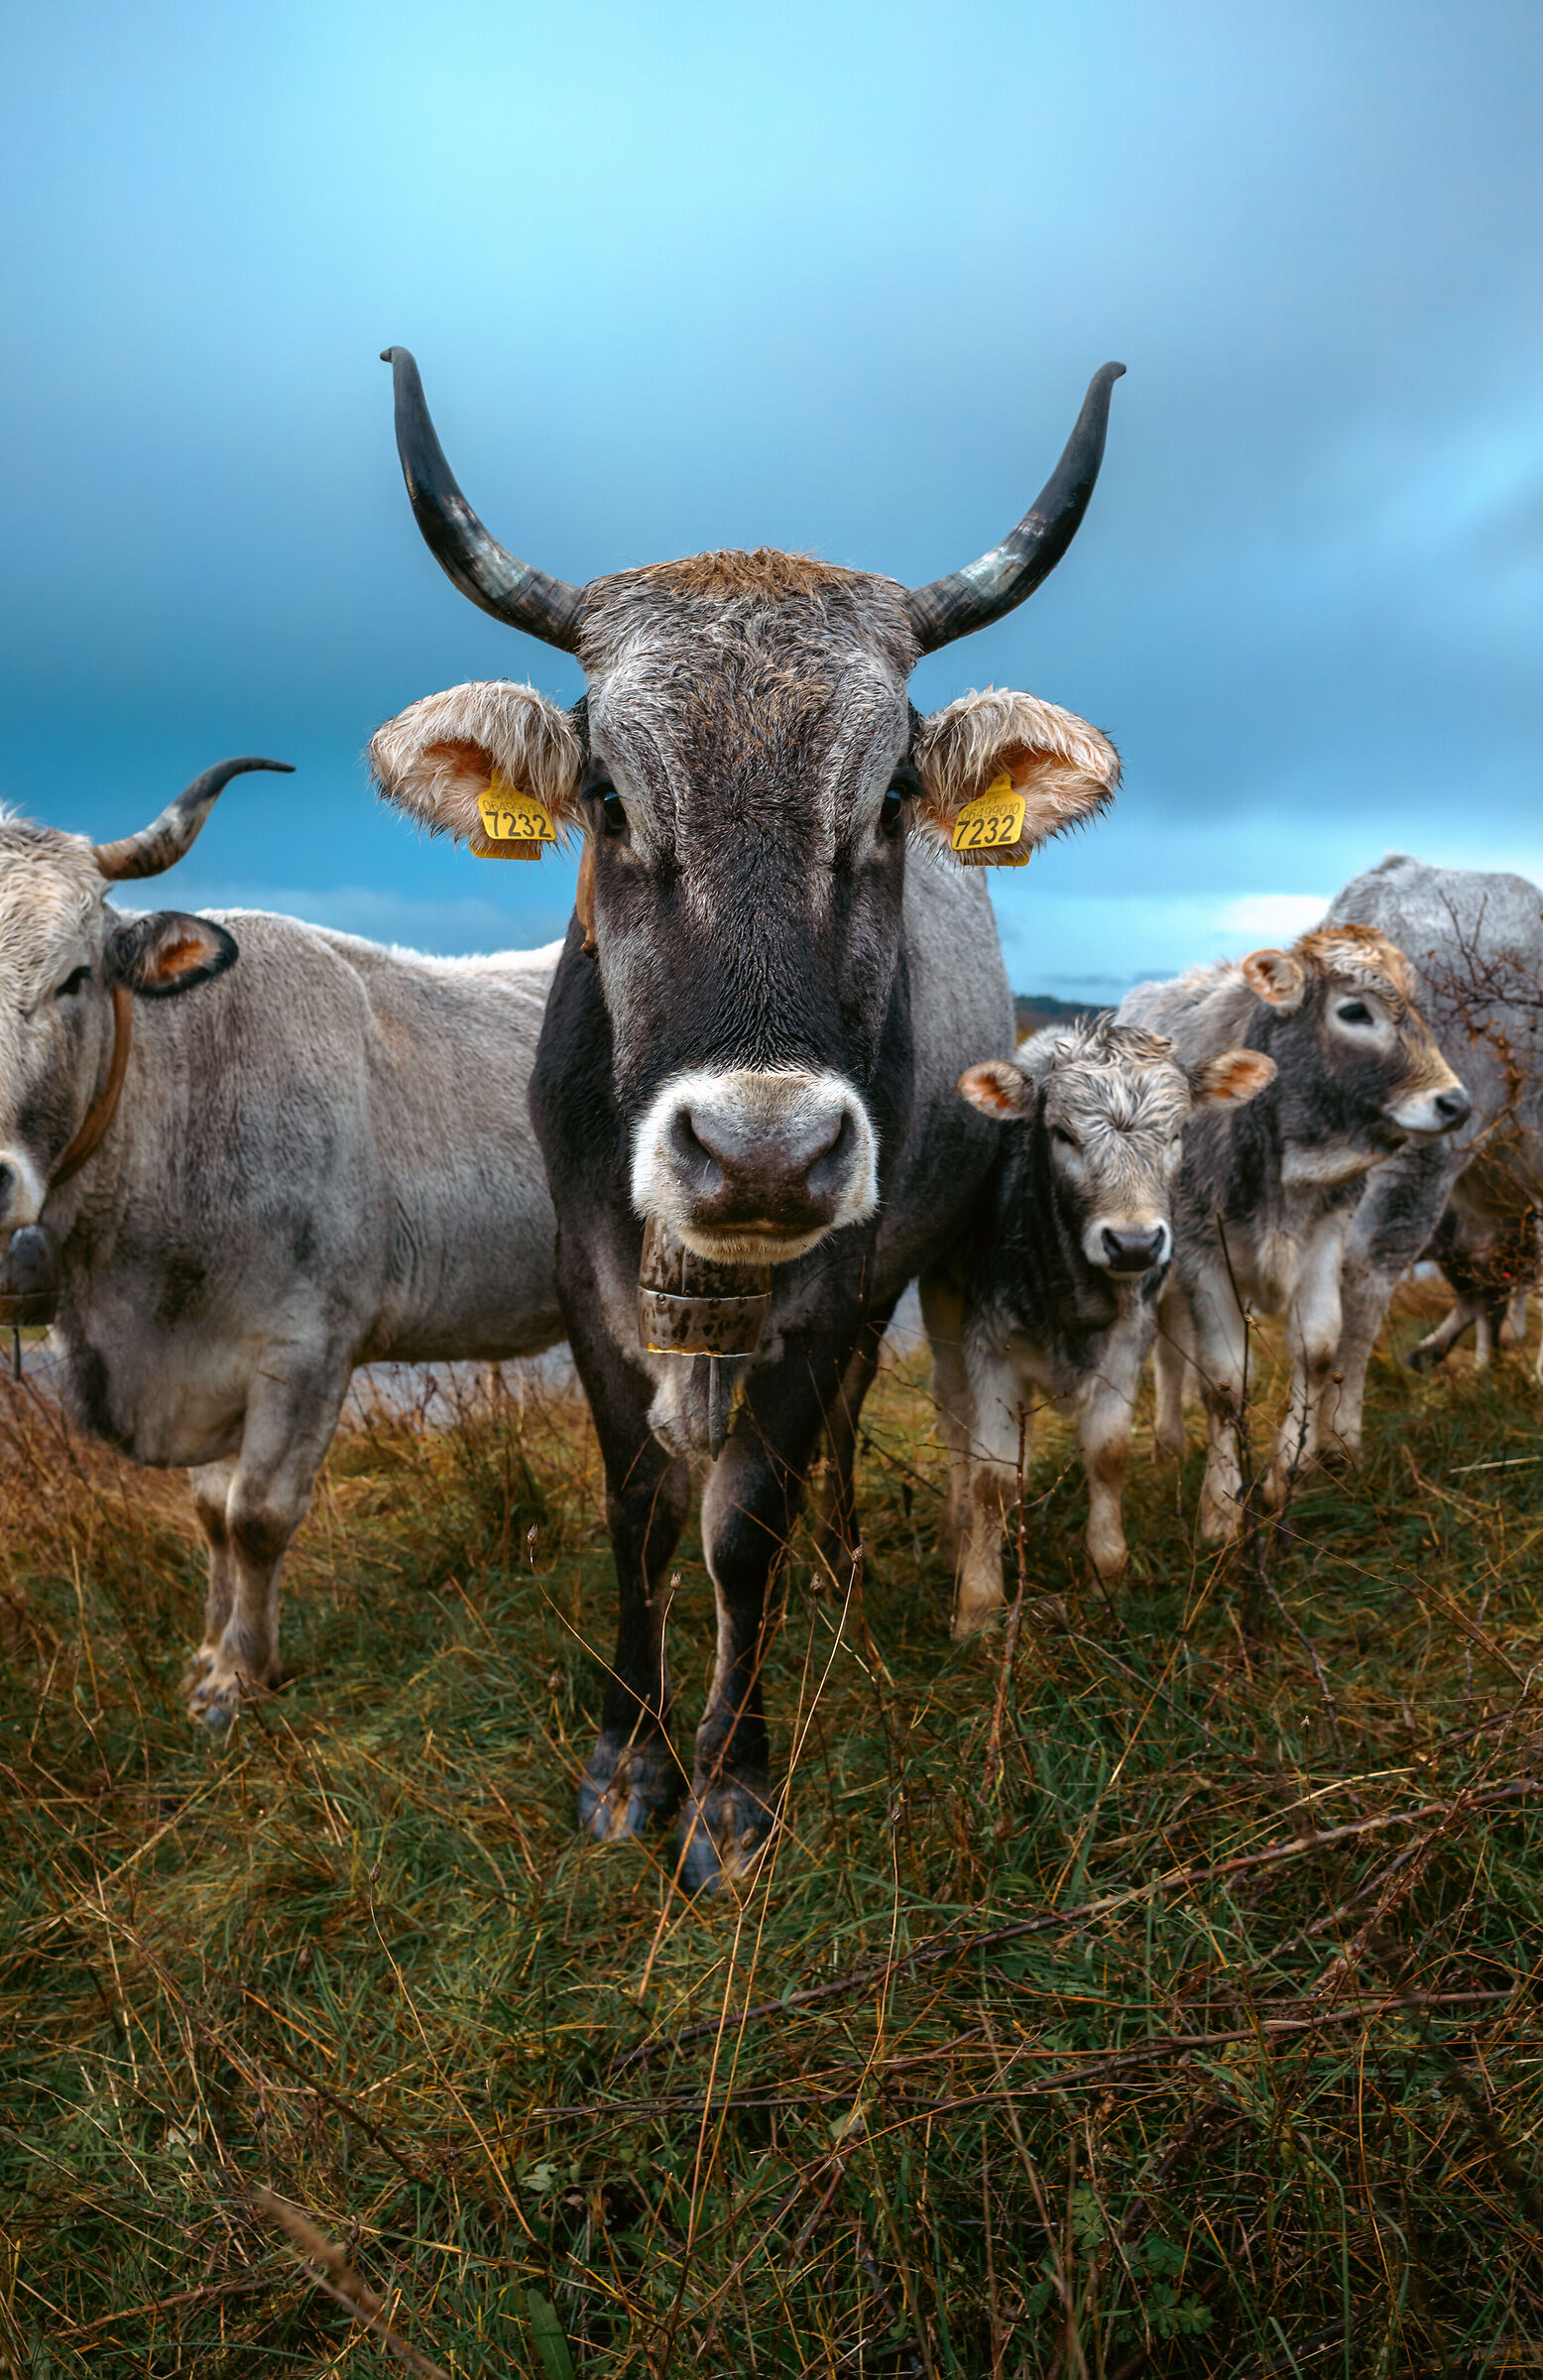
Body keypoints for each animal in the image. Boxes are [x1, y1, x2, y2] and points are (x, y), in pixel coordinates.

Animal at [0, 761, 563, 1724]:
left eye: (73, 979)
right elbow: (211, 1515)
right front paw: (205, 1650)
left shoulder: (306, 1349)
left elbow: (257, 1516)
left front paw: (239, 1675)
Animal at [370, 345, 1124, 1888]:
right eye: (606, 795)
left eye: (890, 795)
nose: (762, 1151)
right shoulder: (585, 1283)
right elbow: (641, 1512)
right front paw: (627, 1760)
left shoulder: (829, 1281)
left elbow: (740, 1529)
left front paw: (728, 1782)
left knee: (826, 1439)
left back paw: (839, 1566)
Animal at [925, 1019, 1273, 1637]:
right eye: (1062, 1134)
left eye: (1178, 1133)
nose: (1133, 1243)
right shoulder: (988, 1343)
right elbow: (991, 1477)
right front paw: (977, 1606)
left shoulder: (1128, 1341)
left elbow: (1108, 1453)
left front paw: (1106, 1571)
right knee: (953, 1414)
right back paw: (953, 1533)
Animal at [1117, 926, 1470, 1540]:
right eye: (1354, 1011)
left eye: (1417, 1006)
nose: (1455, 1103)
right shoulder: (1202, 1253)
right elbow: (1224, 1382)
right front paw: (1220, 1510)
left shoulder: (1325, 1233)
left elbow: (1320, 1348)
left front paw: (1288, 1472)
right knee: (1166, 1347)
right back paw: (1167, 1445)